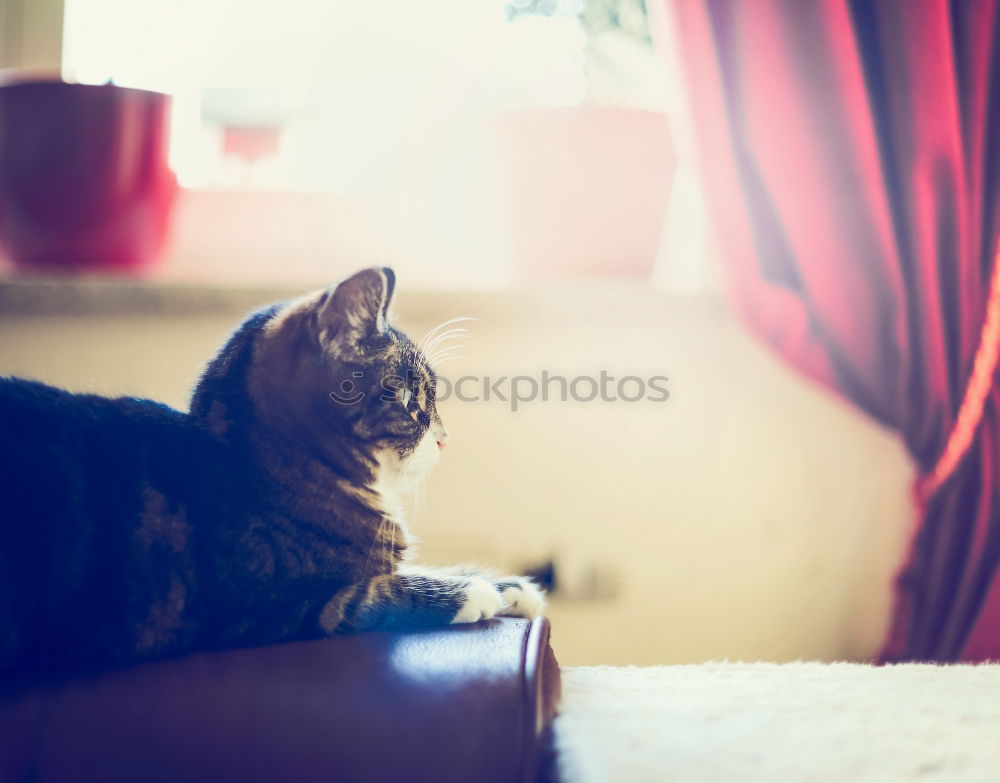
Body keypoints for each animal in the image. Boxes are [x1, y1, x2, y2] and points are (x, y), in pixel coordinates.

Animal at [0, 264, 544, 680]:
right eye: (411, 399)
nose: (446, 438)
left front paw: (507, 586)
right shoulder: (285, 608)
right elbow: (379, 588)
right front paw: (473, 591)